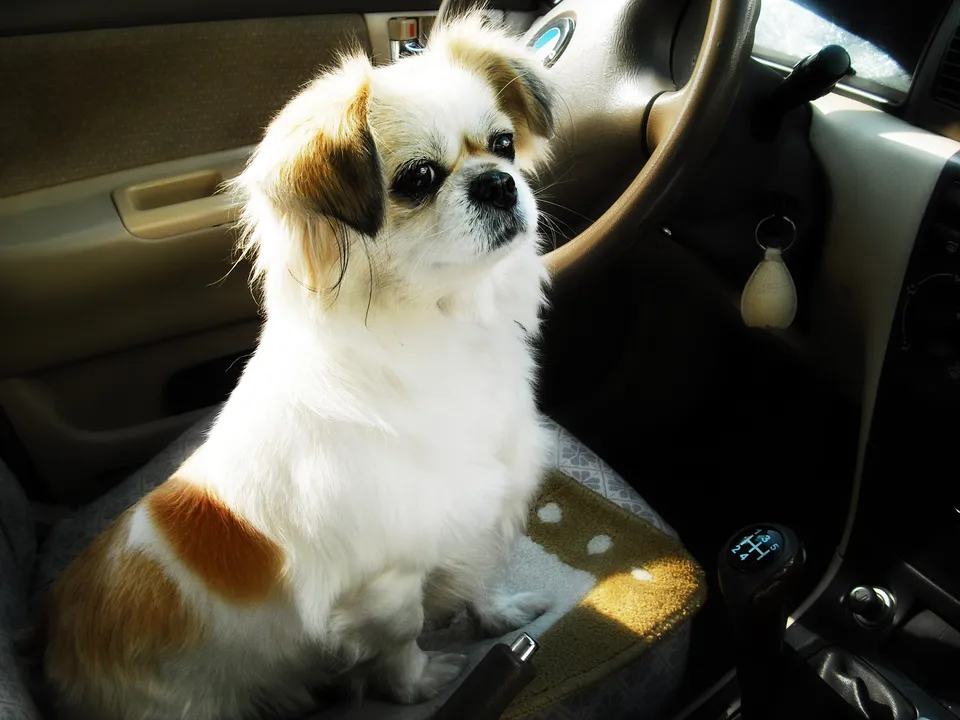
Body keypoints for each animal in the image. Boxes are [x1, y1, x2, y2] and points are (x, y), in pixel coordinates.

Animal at [38, 11, 558, 720]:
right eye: (418, 179)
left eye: (503, 144)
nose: (498, 180)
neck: (447, 325)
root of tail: (56, 642)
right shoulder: (388, 580)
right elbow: (402, 637)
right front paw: (418, 686)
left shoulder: (474, 514)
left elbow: (478, 575)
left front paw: (501, 615)